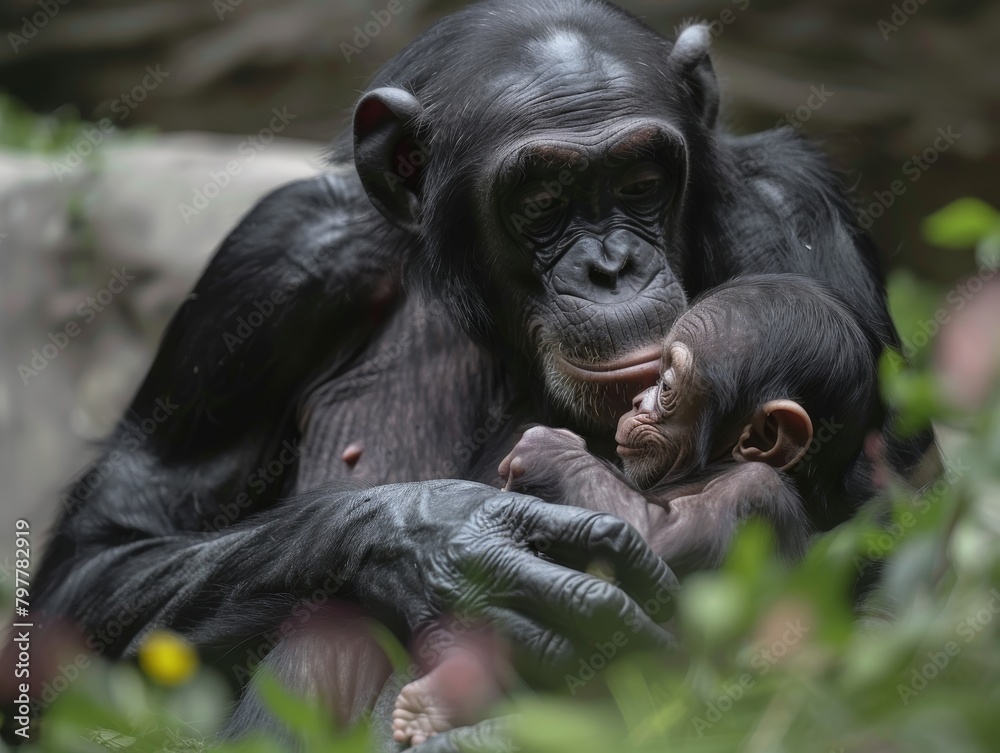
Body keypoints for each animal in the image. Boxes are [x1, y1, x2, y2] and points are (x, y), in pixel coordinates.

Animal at [394, 274, 888, 744]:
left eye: (666, 385)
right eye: (655, 376)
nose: (636, 401)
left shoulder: (755, 493)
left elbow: (655, 541)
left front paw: (547, 449)